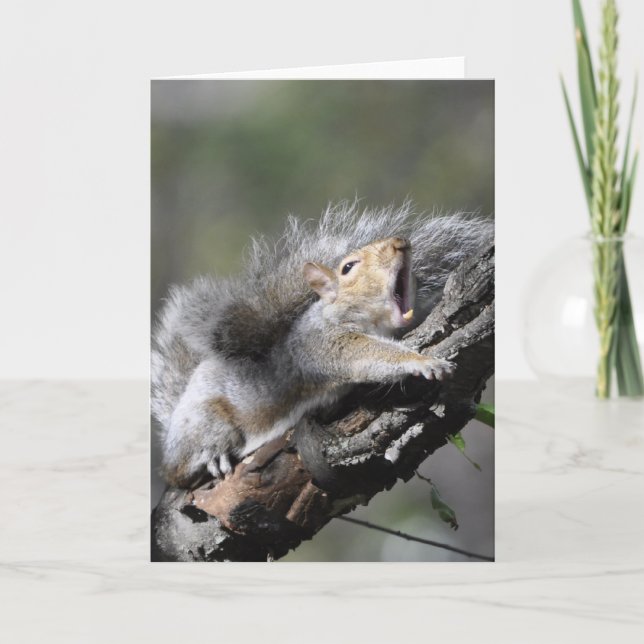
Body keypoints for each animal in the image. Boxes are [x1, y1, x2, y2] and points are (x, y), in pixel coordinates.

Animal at [152, 202, 493, 487]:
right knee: (181, 468)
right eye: (348, 268)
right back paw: (211, 456)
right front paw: (424, 362)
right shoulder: (321, 343)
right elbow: (366, 353)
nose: (400, 243)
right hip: (202, 422)